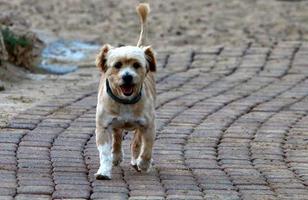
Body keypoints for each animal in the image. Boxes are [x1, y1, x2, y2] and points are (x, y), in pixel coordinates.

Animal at [94, 2, 156, 180]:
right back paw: (116, 156)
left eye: (136, 65)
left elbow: (146, 148)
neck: (126, 102)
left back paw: (136, 161)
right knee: (117, 139)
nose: (127, 76)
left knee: (136, 143)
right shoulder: (103, 126)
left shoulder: (148, 125)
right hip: (115, 125)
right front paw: (104, 171)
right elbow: (105, 152)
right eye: (117, 65)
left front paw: (143, 163)